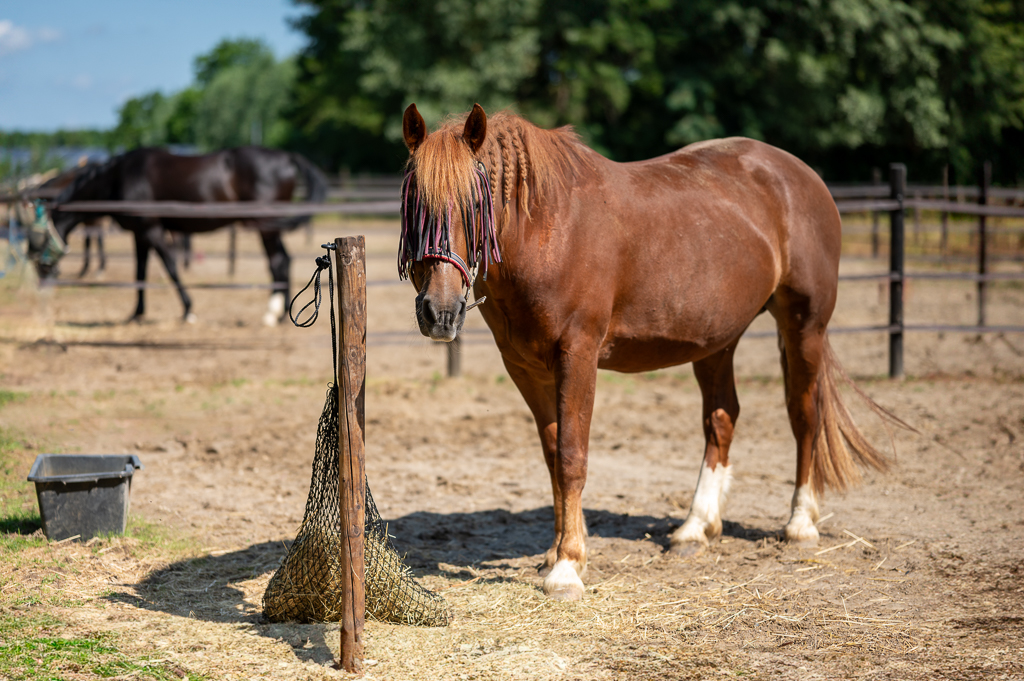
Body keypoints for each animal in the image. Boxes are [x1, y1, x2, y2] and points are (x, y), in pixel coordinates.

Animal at [37, 145, 325, 323]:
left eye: (35, 243)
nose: (42, 285)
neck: (118, 176)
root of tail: (287, 157)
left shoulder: (152, 230)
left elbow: (171, 267)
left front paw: (188, 311)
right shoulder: (140, 234)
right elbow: (140, 273)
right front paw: (136, 314)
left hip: (265, 226)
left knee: (277, 261)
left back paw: (272, 314)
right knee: (284, 260)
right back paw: (280, 314)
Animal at [395, 102, 909, 602]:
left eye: (474, 204)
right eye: (412, 204)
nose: (439, 311)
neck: (546, 229)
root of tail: (803, 176)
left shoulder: (578, 355)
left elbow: (571, 457)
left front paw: (567, 568)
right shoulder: (525, 367)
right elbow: (552, 456)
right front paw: (557, 552)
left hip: (804, 326)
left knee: (804, 415)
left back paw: (800, 523)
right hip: (716, 341)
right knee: (722, 419)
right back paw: (695, 528)